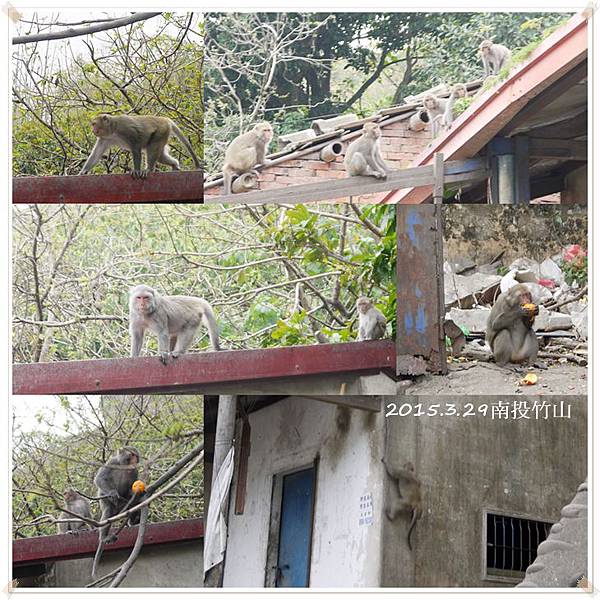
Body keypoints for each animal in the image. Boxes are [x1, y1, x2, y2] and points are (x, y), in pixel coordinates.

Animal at [92, 446, 141, 576]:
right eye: (132, 454)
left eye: (136, 455)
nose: (135, 460)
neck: (125, 466)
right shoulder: (112, 462)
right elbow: (100, 478)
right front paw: (113, 493)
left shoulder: (135, 471)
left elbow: (131, 488)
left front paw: (135, 492)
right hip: (106, 502)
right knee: (108, 511)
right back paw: (104, 538)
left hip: (124, 505)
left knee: (133, 504)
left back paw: (133, 520)